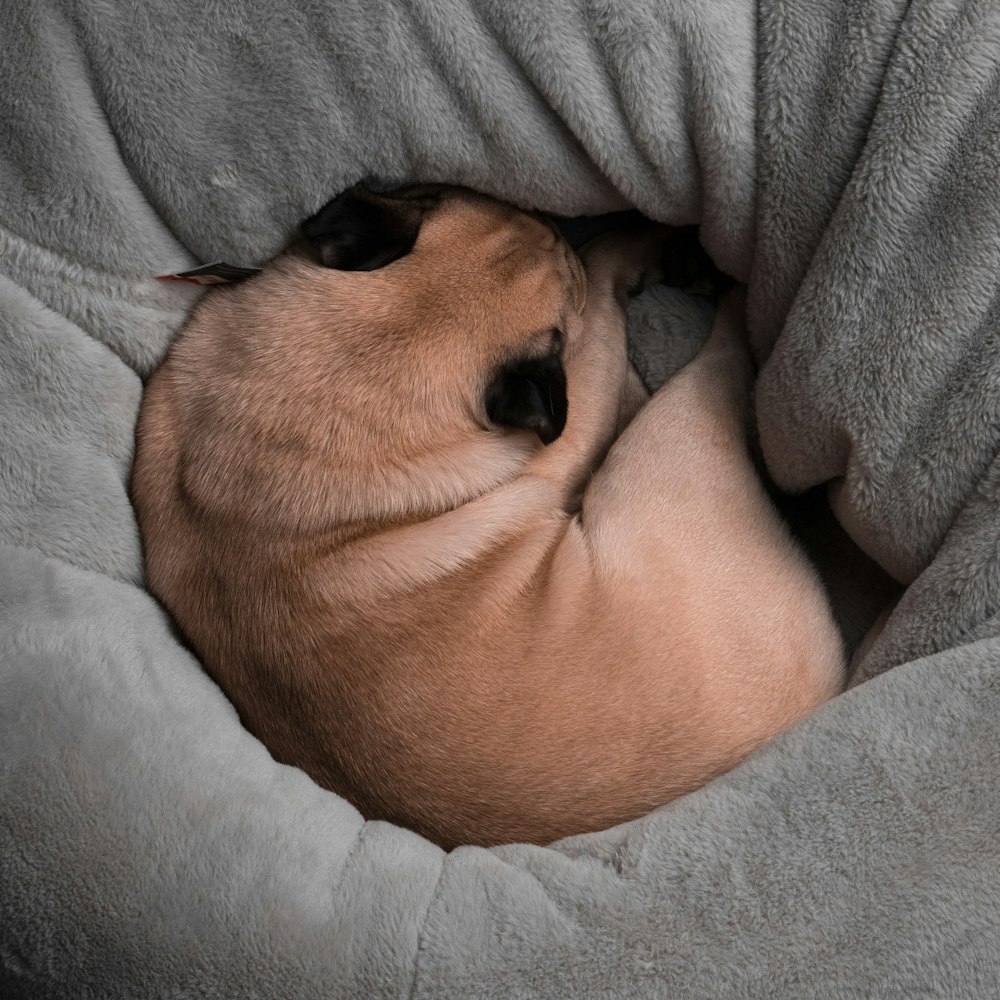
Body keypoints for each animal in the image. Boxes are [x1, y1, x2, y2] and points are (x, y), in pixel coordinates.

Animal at [129, 184, 840, 848]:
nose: (559, 222)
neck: (344, 385)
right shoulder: (570, 424)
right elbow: (601, 289)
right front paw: (635, 245)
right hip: (670, 432)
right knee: (718, 359)